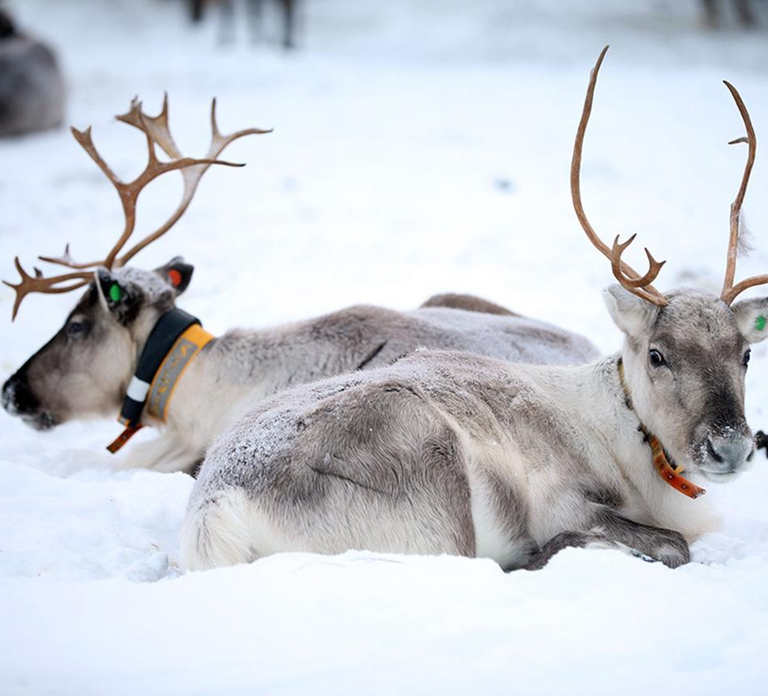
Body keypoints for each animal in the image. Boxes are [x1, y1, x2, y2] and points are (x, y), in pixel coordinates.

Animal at [180, 46, 767, 573]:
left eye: (744, 355)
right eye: (657, 355)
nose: (732, 448)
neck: (625, 433)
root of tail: (215, 506)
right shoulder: (564, 500)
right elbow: (672, 543)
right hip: (433, 477)